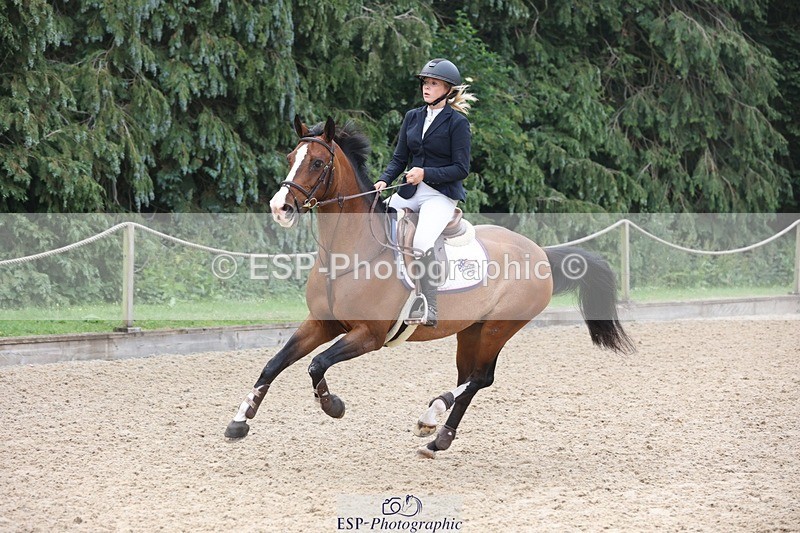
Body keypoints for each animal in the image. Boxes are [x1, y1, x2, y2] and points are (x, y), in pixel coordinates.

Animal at [224, 116, 634, 458]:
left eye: (317, 163)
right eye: (291, 156)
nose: (280, 208)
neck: (348, 253)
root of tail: (540, 253)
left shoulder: (368, 335)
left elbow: (316, 364)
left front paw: (333, 406)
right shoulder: (322, 323)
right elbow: (274, 364)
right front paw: (239, 422)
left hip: (499, 328)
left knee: (480, 379)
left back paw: (431, 417)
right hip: (471, 330)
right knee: (470, 378)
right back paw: (438, 439)